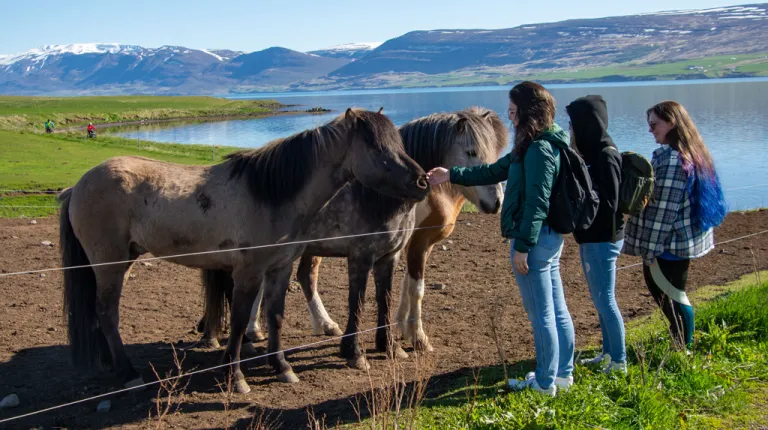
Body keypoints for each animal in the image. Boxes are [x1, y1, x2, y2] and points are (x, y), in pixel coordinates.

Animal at [58, 108, 430, 394]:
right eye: (378, 148)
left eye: (398, 144)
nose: (423, 182)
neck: (271, 195)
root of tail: (78, 185)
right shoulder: (249, 272)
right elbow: (238, 321)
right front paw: (235, 377)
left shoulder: (279, 268)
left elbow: (275, 316)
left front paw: (282, 368)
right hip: (110, 264)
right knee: (107, 312)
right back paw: (129, 374)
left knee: (100, 313)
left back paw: (110, 363)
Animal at [196, 107, 509, 368]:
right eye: (471, 151)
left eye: (494, 153)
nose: (496, 203)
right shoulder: (409, 245)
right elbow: (412, 289)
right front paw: (417, 338)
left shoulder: (403, 248)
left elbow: (398, 289)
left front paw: (399, 334)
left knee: (297, 279)